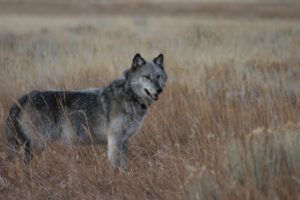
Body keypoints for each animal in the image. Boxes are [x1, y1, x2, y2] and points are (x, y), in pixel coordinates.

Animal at [4, 53, 168, 169]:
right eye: (146, 77)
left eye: (158, 77)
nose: (159, 90)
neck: (129, 96)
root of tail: (22, 98)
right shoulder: (115, 139)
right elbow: (117, 165)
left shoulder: (124, 140)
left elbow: (124, 164)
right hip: (36, 144)